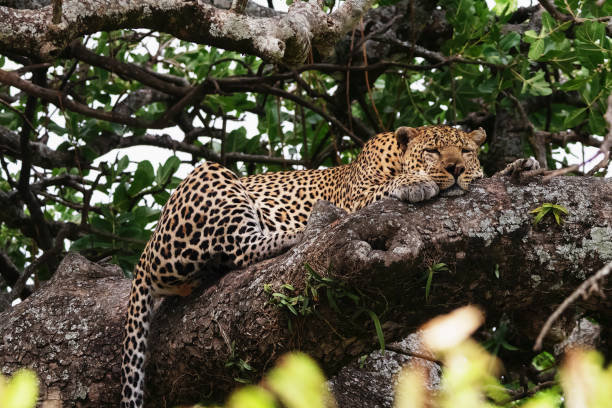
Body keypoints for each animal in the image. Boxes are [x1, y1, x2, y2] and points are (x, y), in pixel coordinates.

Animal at [120, 124, 488, 408]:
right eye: (433, 151)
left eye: (466, 151)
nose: (456, 169)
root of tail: (145, 253)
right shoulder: (357, 198)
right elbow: (387, 188)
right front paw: (415, 182)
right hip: (211, 176)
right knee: (240, 248)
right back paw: (303, 230)